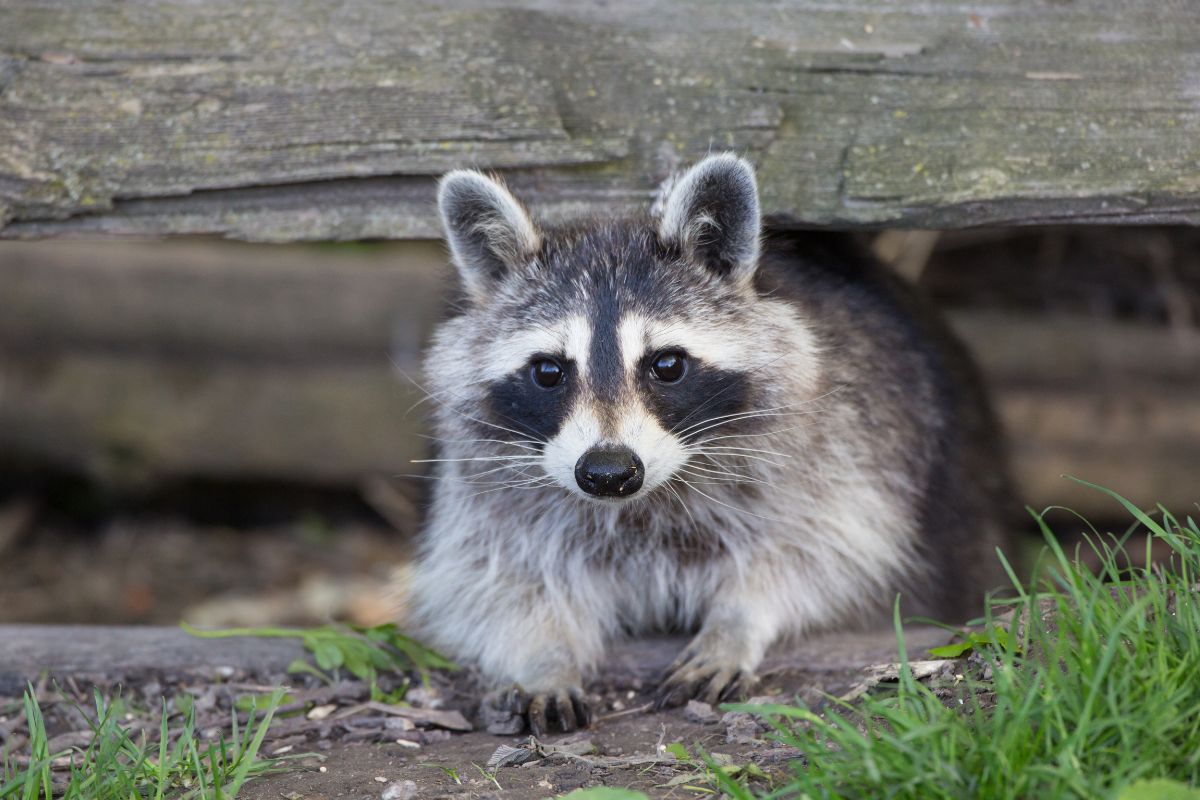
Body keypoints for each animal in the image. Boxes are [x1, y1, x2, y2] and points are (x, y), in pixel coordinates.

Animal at [405, 153, 1012, 734]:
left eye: (667, 365)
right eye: (549, 371)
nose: (608, 472)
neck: (644, 501)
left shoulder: (844, 447)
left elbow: (820, 553)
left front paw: (738, 621)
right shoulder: (489, 488)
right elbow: (497, 579)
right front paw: (543, 657)